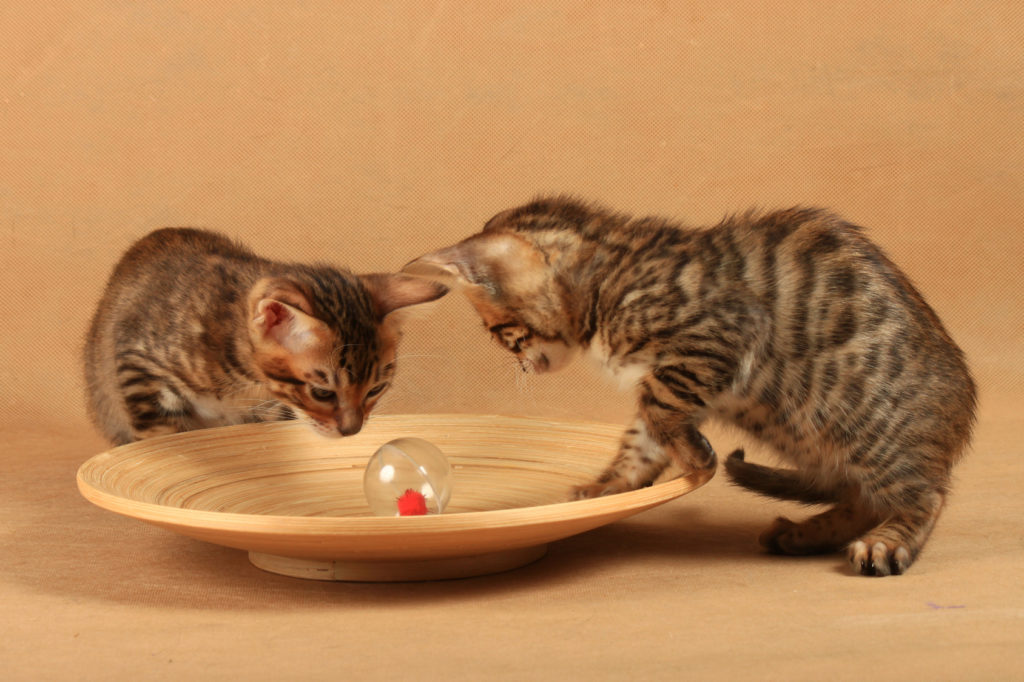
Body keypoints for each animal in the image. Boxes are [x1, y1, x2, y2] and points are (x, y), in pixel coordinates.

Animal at [82, 225, 444, 444]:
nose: (351, 431)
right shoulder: (137, 364)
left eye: (376, 389)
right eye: (322, 393)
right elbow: (162, 436)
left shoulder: (267, 413)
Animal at [405, 196, 974, 573]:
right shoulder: (676, 371)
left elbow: (658, 406)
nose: (525, 368)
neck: (610, 279)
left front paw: (697, 456)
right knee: (863, 498)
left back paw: (887, 542)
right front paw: (608, 486)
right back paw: (805, 533)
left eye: (502, 334)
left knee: (922, 497)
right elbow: (641, 436)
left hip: (862, 425)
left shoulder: (720, 334)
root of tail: (952, 432)